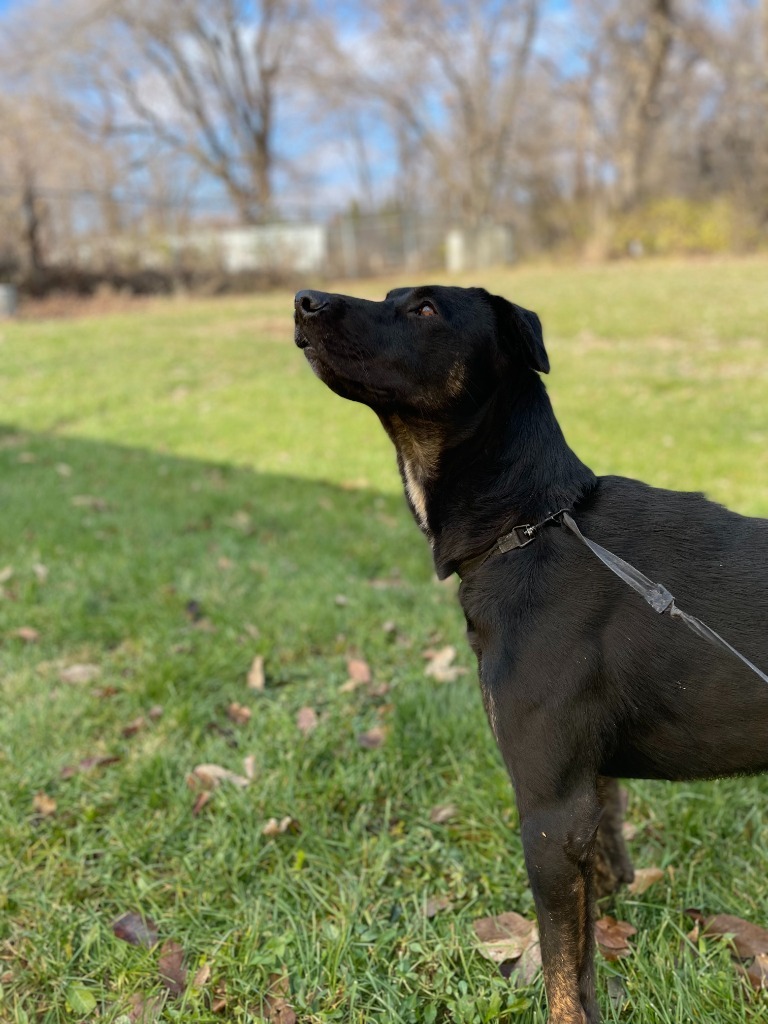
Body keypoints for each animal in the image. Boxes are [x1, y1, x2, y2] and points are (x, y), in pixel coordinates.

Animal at [294, 284, 768, 1019]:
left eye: (425, 309)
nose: (304, 301)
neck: (530, 524)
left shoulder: (548, 813)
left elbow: (563, 975)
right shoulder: (590, 792)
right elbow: (593, 921)